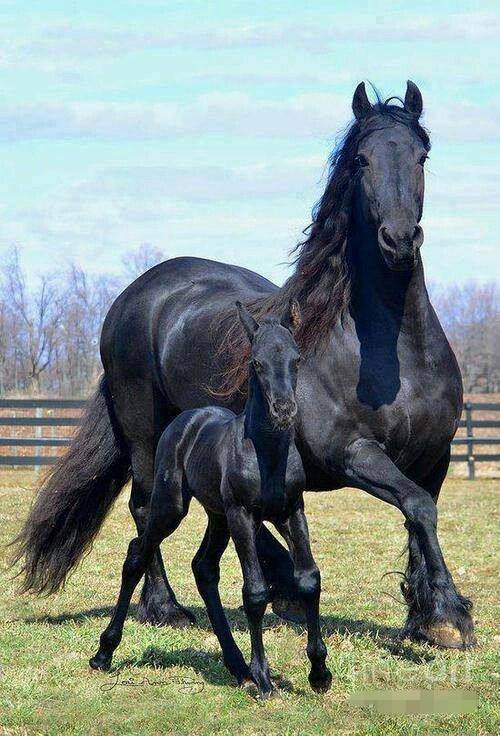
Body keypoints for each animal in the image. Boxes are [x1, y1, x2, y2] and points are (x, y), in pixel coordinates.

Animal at [14, 82, 476, 648]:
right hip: (148, 435)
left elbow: (420, 514)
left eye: (421, 157)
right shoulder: (353, 453)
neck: (394, 356)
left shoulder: (435, 456)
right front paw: (449, 614)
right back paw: (166, 607)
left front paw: (427, 617)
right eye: (361, 160)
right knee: (145, 507)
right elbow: (417, 508)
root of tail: (132, 297)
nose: (399, 240)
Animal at [90, 302, 332, 700]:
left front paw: (319, 673)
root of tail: (184, 420)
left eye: (296, 359)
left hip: (218, 518)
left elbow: (309, 578)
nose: (284, 410)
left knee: (203, 567)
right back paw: (103, 653)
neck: (267, 454)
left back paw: (237, 667)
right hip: (174, 506)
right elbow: (255, 591)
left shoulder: (292, 511)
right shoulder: (244, 515)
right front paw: (264, 680)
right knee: (137, 554)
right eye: (256, 363)